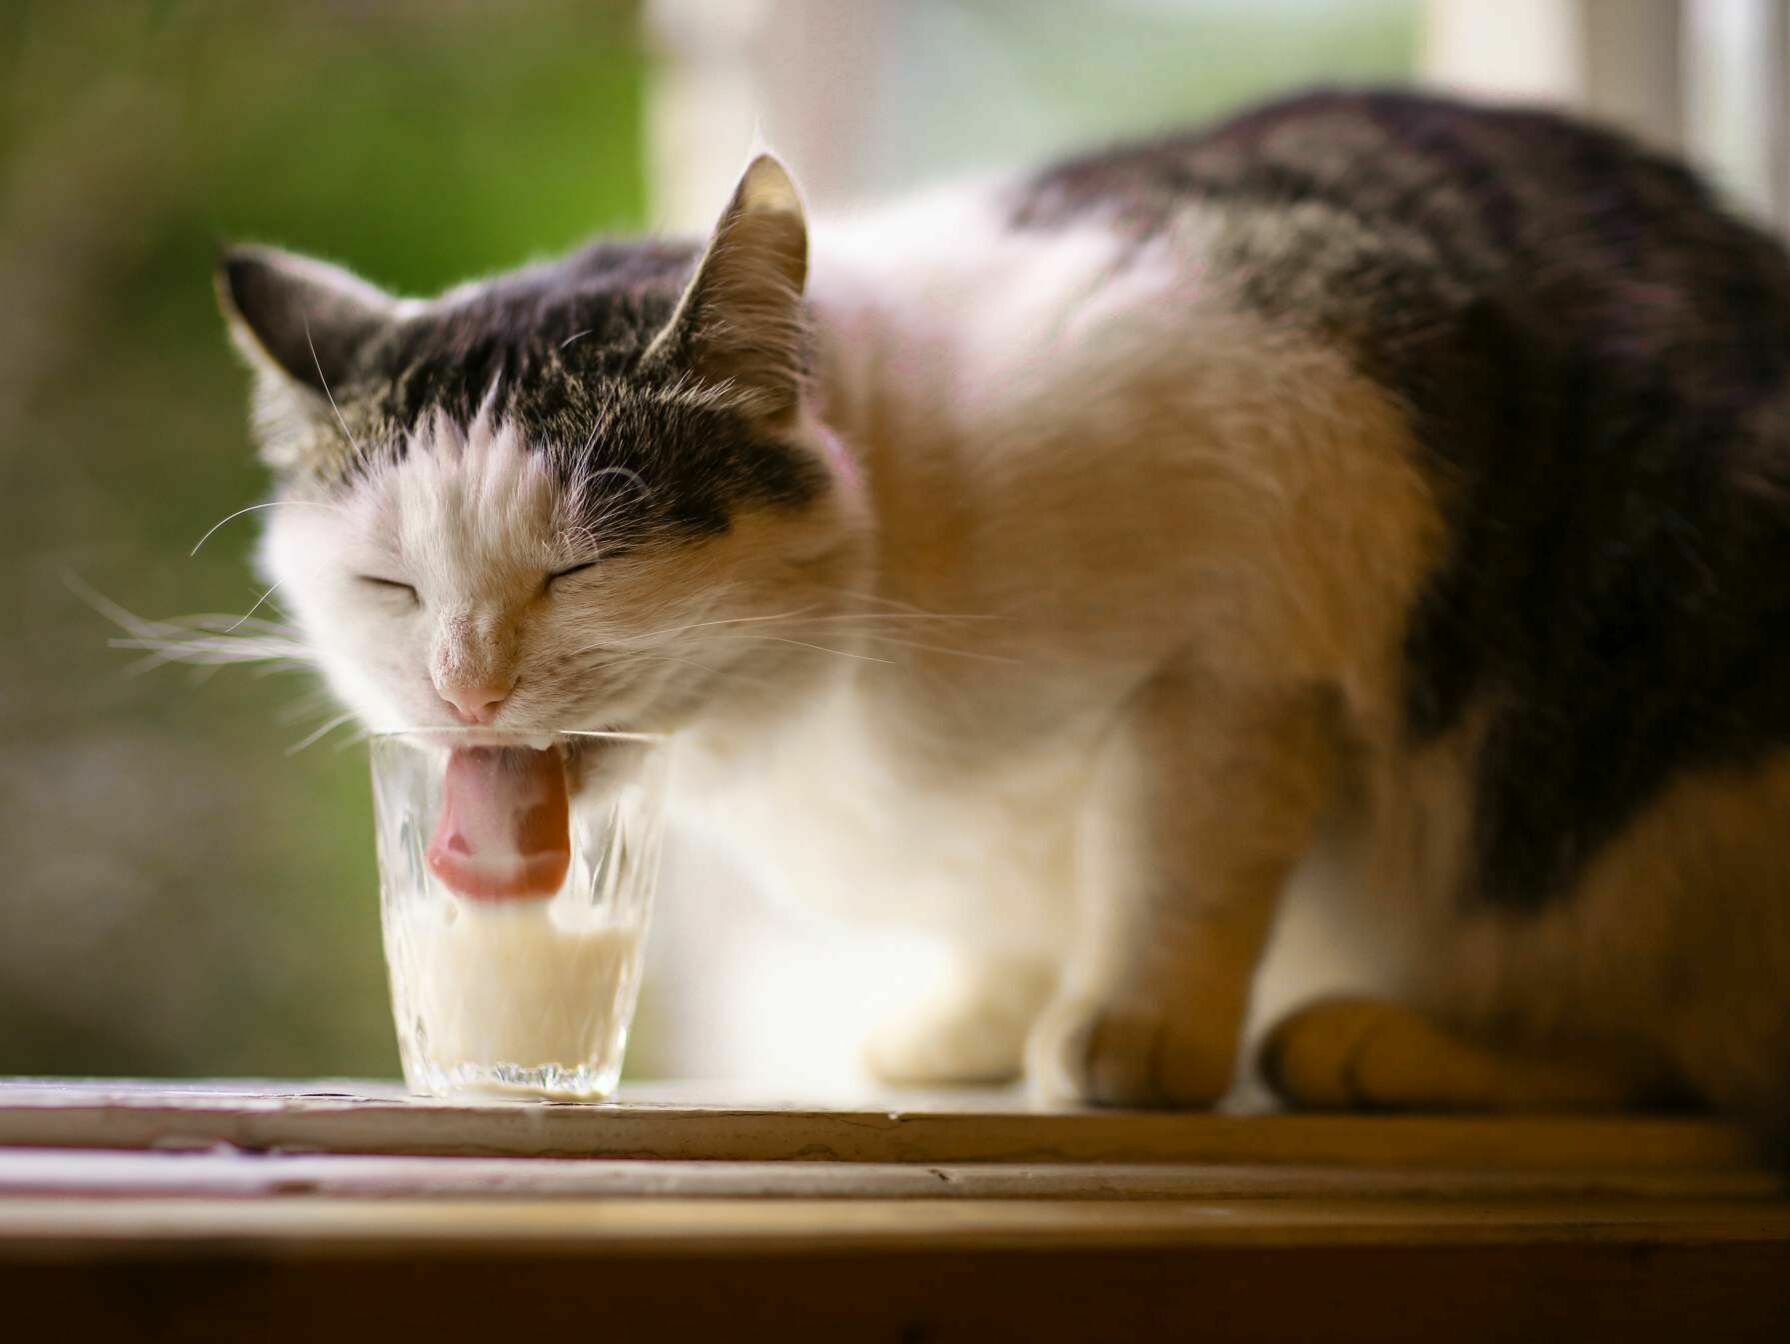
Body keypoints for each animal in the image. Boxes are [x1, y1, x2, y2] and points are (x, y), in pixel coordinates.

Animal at [213, 86, 1790, 1138]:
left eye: (575, 569)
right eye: (390, 583)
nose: (464, 687)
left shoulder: (1248, 633)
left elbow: (1173, 860)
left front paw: (1133, 1036)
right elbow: (1016, 915)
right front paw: (973, 1023)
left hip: (1667, 798)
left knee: (1659, 1054)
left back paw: (1373, 1050)